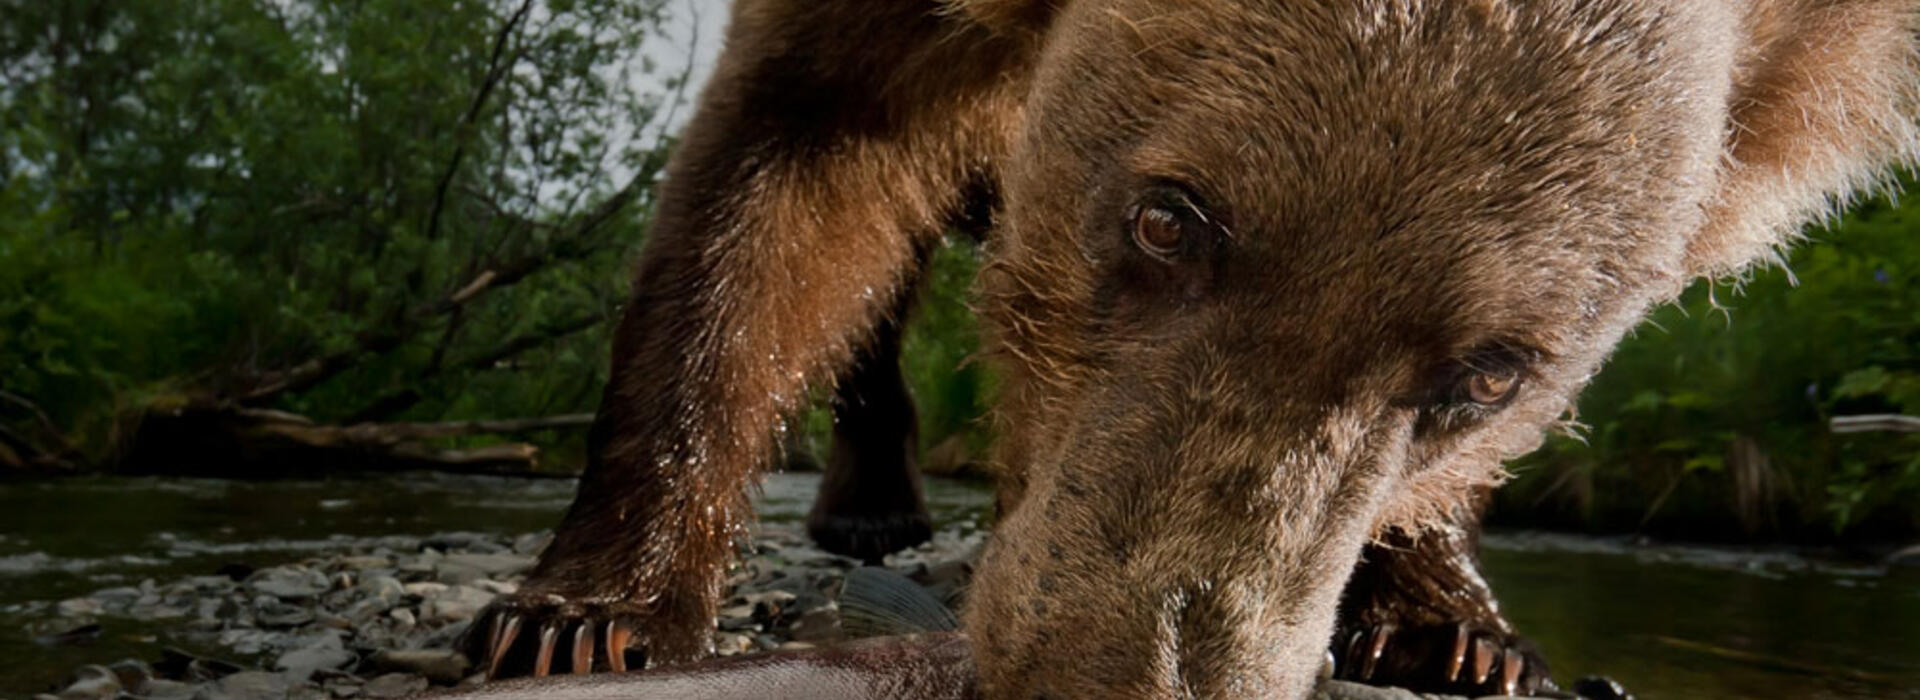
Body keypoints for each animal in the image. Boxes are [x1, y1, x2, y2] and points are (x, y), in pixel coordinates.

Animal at [465, 0, 1919, 697]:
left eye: (1494, 370)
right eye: (1170, 217)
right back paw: (870, 502)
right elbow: (772, 189)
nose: (1135, 678)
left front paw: (1459, 627)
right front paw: (584, 612)